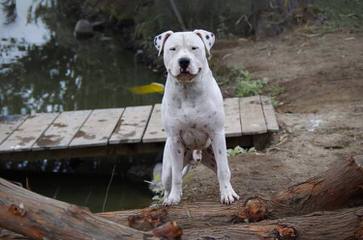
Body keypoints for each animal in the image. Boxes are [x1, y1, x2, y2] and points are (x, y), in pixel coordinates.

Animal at [154, 29, 239, 204]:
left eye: (194, 48)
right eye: (173, 49)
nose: (184, 61)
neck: (187, 90)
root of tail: (195, 153)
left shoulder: (217, 133)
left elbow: (223, 171)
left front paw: (227, 194)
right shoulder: (175, 139)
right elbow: (177, 177)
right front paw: (174, 198)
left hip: (213, 155)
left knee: (223, 170)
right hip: (168, 167)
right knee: (168, 182)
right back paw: (167, 198)